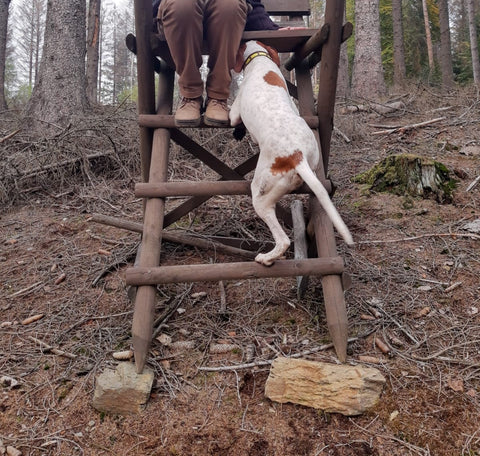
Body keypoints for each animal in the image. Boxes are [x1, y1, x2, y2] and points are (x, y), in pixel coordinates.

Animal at [229, 41, 352, 268]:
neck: (259, 57)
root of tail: (297, 156)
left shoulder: (235, 111)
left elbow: (234, 118)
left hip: (260, 194)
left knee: (283, 240)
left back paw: (266, 258)